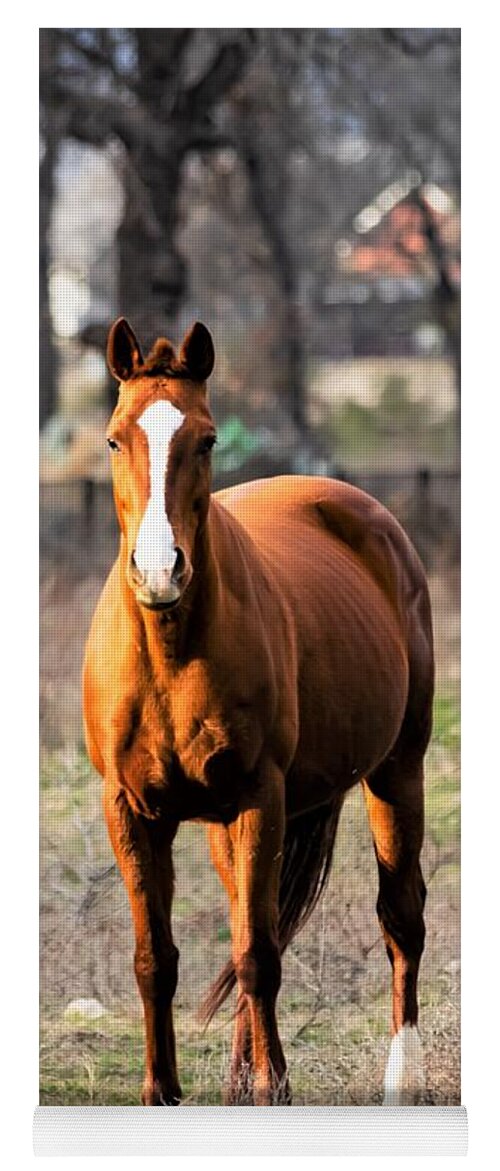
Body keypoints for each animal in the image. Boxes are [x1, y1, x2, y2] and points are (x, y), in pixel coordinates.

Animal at [81, 316, 435, 1100]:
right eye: (116, 439)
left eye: (208, 439)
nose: (160, 571)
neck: (172, 652)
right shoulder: (130, 809)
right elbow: (156, 958)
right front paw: (162, 1090)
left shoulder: (260, 798)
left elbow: (256, 954)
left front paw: (276, 1087)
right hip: (228, 826)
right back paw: (240, 1076)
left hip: (398, 772)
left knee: (400, 919)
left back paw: (400, 1076)